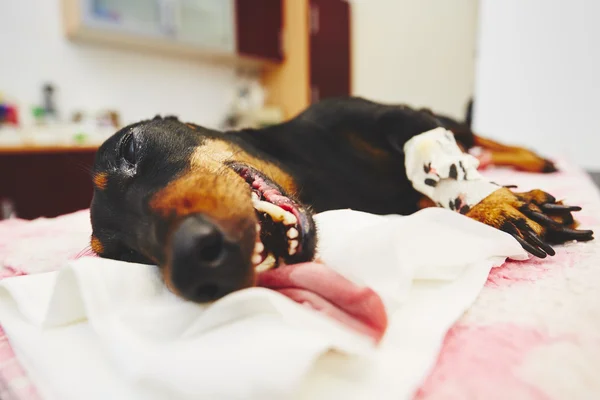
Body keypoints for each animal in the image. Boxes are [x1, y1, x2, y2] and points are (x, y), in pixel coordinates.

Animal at [90, 97, 596, 304]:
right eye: (125, 254)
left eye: (130, 148)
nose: (194, 264)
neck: (313, 177)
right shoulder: (403, 205)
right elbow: (430, 198)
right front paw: (490, 204)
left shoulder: (393, 117)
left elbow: (433, 155)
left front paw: (493, 202)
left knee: (477, 137)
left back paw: (530, 158)